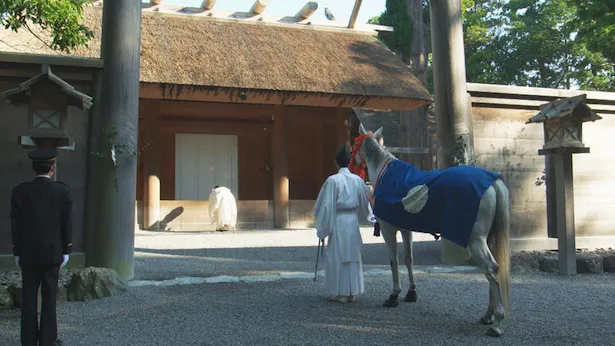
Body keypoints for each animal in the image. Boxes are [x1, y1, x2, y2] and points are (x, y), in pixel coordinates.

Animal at [352, 125, 510, 338]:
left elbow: (394, 261)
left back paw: (497, 322)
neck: (386, 176)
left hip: (476, 240)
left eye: (354, 142)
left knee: (491, 269)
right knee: (492, 272)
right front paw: (411, 292)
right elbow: (408, 259)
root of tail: (492, 182)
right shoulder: (406, 229)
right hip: (487, 238)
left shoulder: (388, 229)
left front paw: (394, 295)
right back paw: (488, 315)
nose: (348, 161)